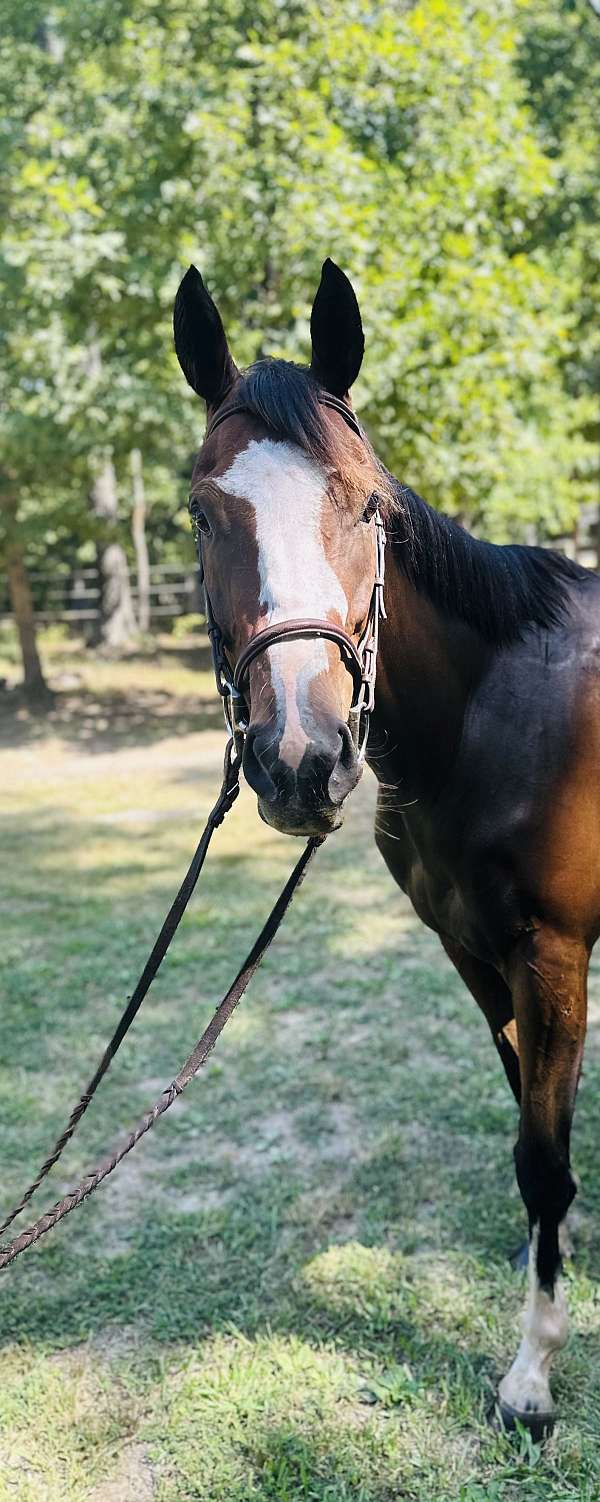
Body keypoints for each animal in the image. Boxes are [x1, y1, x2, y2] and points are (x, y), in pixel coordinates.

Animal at [173, 255, 600, 1429]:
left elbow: (542, 1155)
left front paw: (532, 1372)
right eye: (202, 514)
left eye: (366, 503)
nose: (300, 757)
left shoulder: (554, 956)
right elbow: (530, 1128)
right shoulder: (472, 951)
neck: (495, 713)